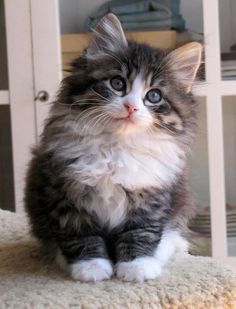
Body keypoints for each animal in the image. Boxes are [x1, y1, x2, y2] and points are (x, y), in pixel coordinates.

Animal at [24, 12, 202, 282]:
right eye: (118, 83)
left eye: (154, 96)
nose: (131, 107)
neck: (116, 148)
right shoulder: (65, 194)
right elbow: (80, 235)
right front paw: (91, 267)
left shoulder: (152, 196)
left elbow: (141, 232)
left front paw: (137, 266)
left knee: (171, 233)